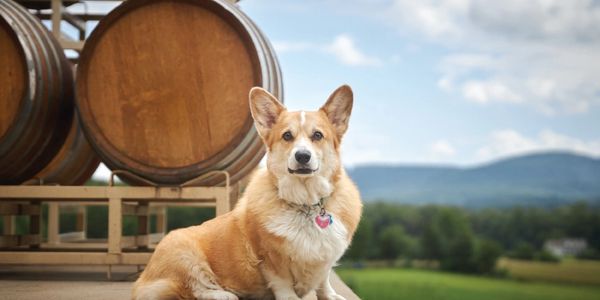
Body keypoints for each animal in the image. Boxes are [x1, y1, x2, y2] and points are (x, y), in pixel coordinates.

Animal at [132, 85, 360, 300]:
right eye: (287, 136)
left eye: (318, 135)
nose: (302, 156)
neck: (306, 204)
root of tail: (142, 279)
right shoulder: (270, 258)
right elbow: (283, 282)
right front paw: (290, 298)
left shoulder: (325, 256)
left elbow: (324, 279)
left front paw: (330, 295)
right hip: (183, 252)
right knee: (191, 287)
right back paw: (222, 294)